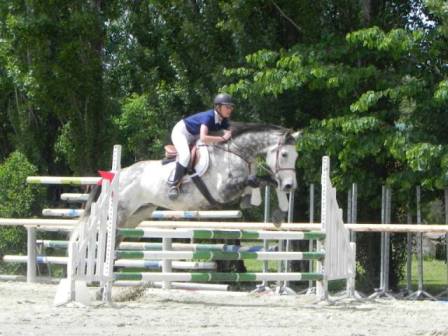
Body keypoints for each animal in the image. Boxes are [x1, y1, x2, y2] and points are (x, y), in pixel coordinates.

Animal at [85, 122, 300, 230]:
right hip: (119, 213)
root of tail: (117, 174)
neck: (236, 152)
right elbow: (257, 181)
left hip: (138, 213)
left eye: (296, 156)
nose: (291, 186)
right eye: (284, 154)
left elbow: (268, 181)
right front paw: (258, 201)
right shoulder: (224, 192)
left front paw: (279, 212)